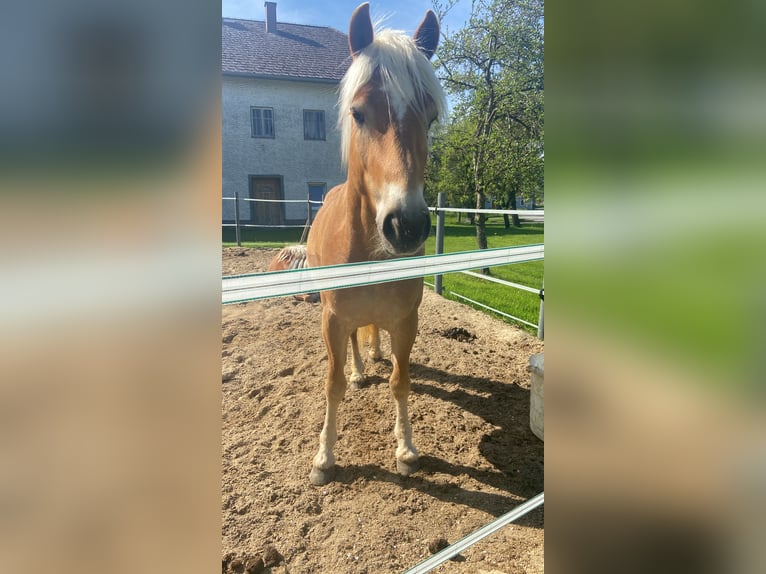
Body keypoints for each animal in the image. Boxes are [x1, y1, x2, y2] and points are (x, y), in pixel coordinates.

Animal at [272, 2, 446, 485]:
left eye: (431, 118)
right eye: (358, 113)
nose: (406, 225)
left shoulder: (406, 321)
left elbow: (401, 380)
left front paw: (406, 449)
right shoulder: (331, 320)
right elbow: (331, 385)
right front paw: (324, 457)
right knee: (352, 345)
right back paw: (359, 371)